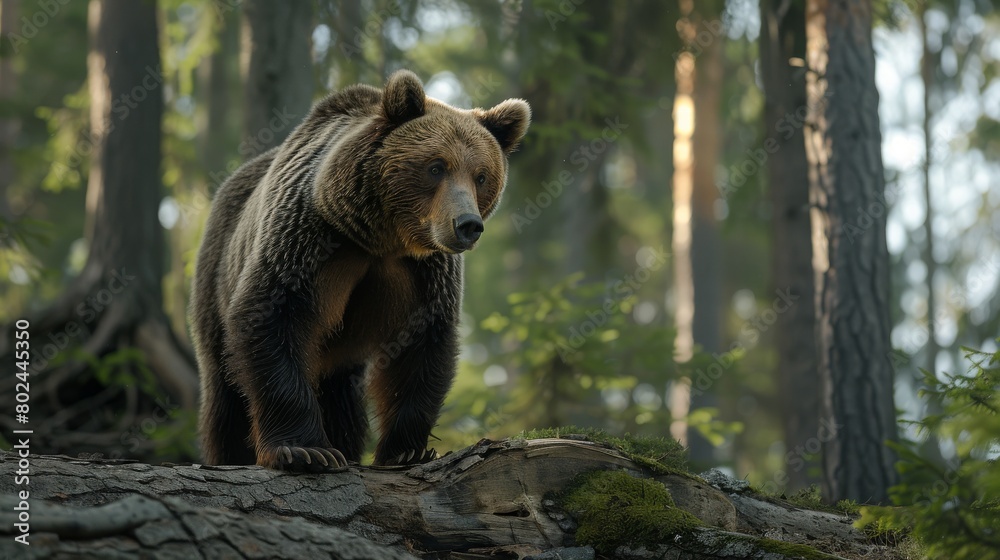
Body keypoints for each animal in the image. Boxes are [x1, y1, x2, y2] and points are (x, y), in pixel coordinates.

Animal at [190, 70, 530, 471]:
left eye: (480, 176)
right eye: (436, 167)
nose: (467, 225)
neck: (380, 237)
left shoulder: (424, 271)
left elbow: (421, 345)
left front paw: (406, 449)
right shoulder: (308, 238)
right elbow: (273, 316)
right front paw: (304, 450)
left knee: (340, 392)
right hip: (216, 273)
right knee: (223, 388)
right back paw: (229, 455)